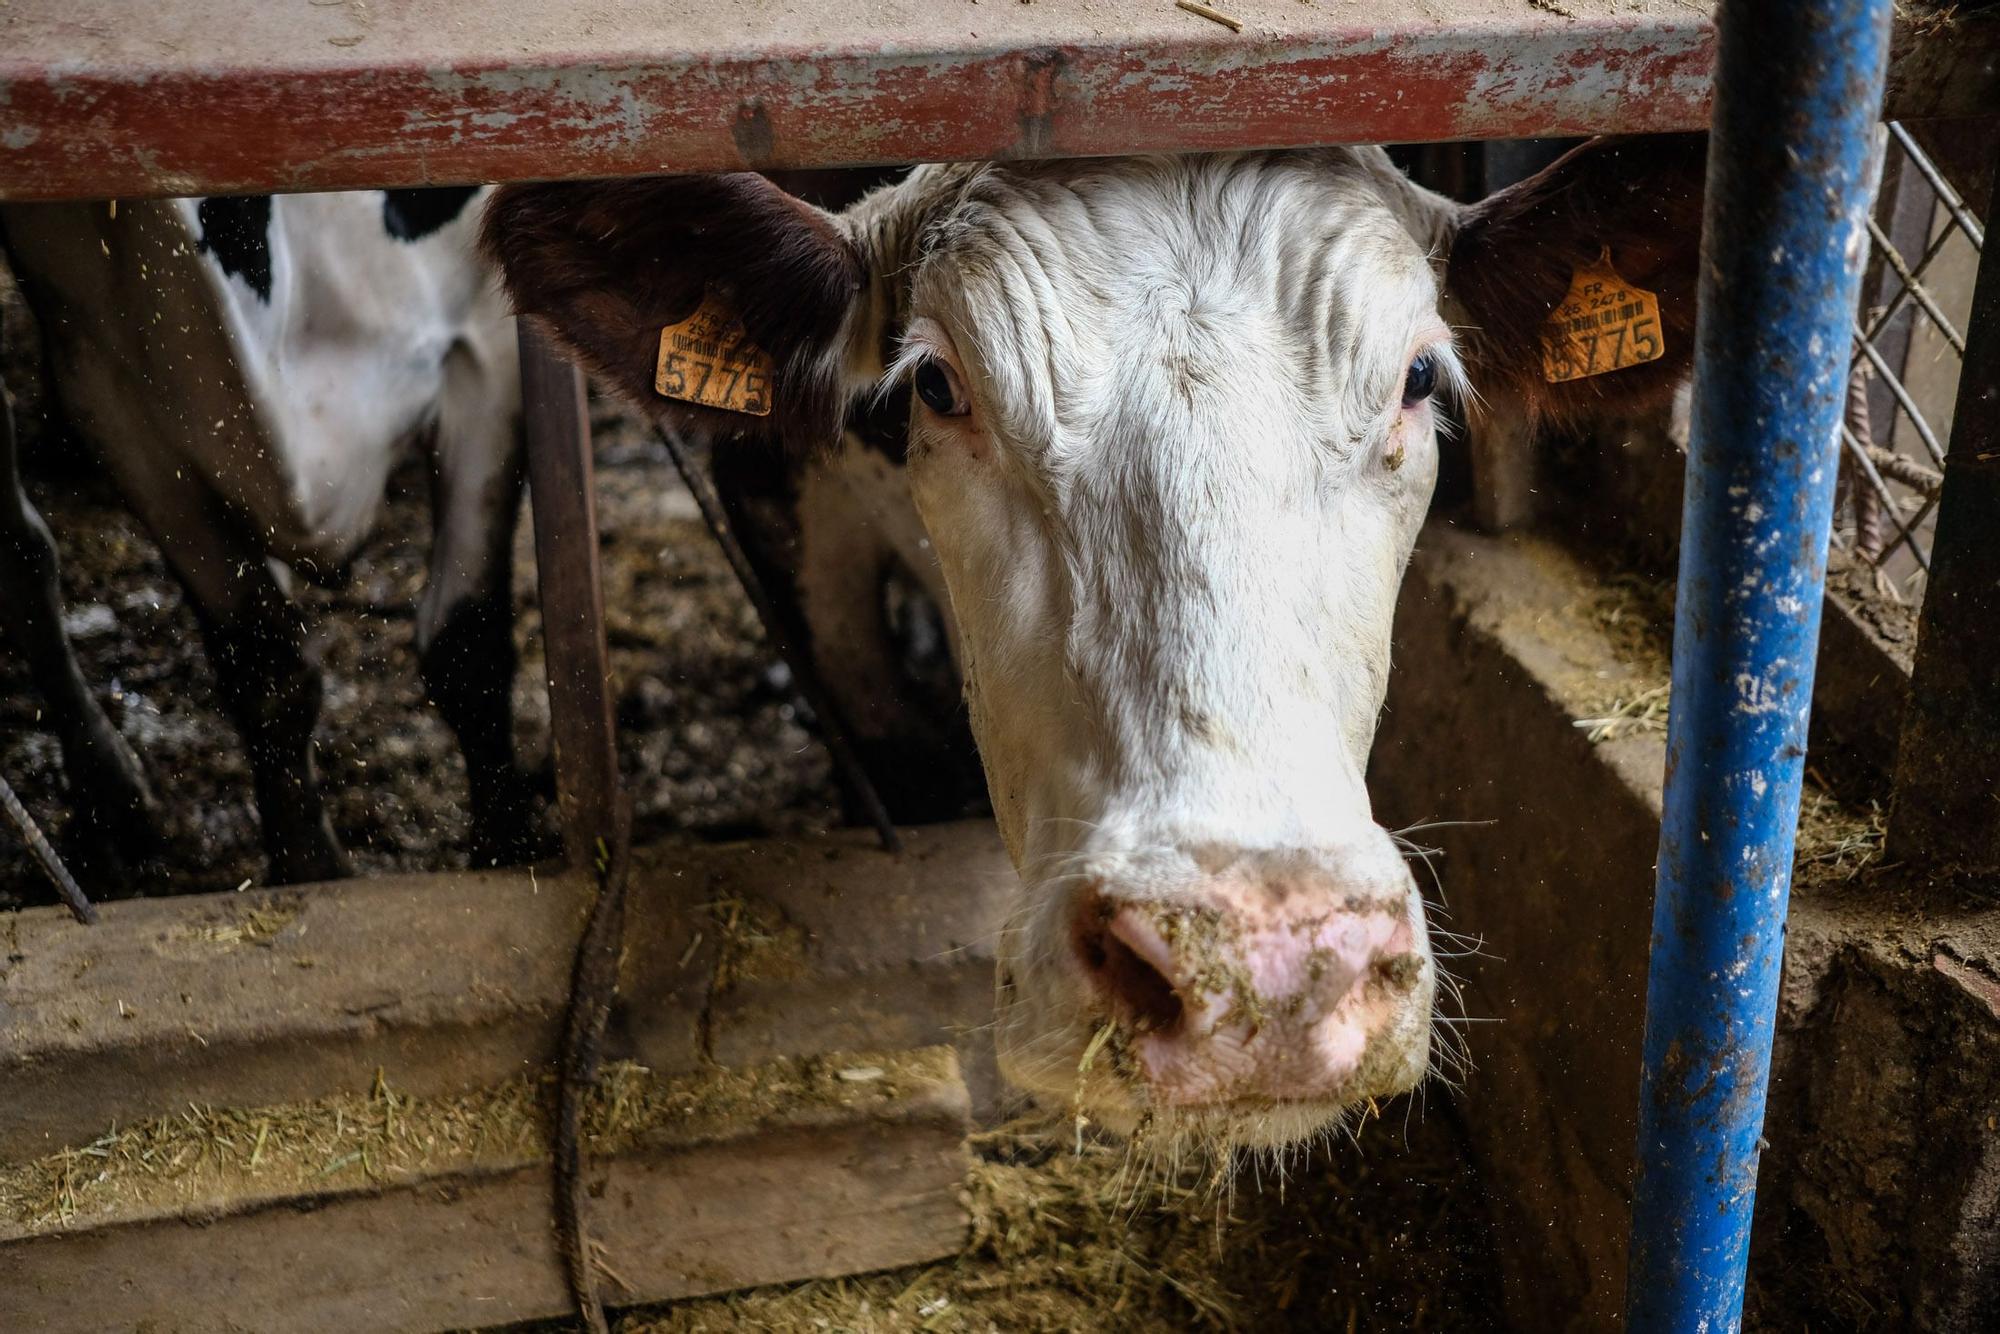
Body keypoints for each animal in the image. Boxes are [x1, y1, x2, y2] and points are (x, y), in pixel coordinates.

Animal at [0, 185, 532, 876]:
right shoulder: (121, 412)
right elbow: (266, 671)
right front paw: (312, 870)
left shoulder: (488, 344)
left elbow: (467, 644)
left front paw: (508, 854)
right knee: (24, 560)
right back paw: (114, 800)